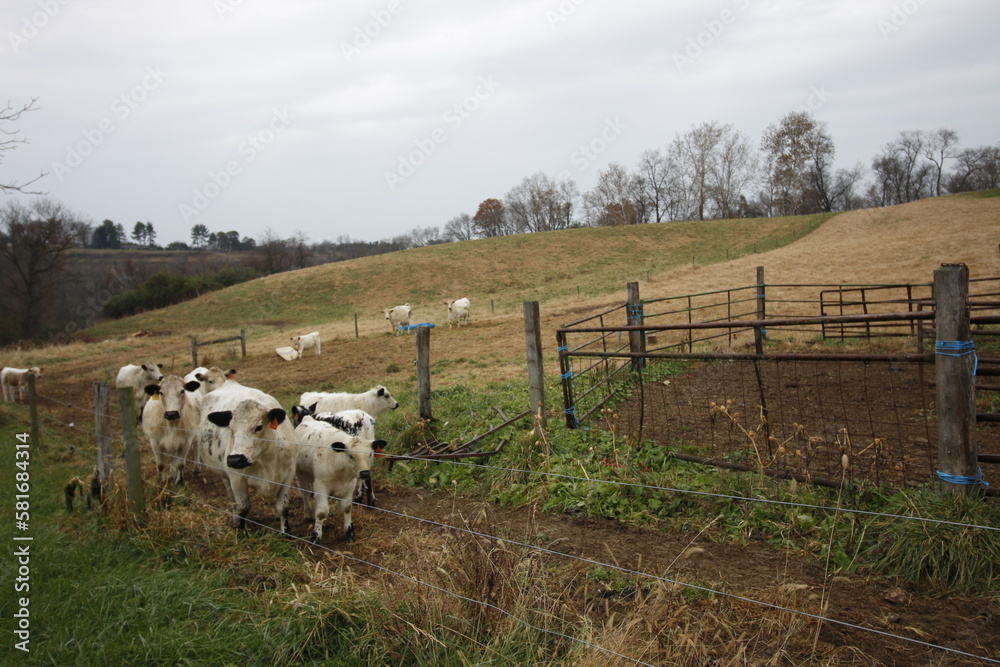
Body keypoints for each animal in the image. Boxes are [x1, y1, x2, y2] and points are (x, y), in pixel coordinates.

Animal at [197, 380, 297, 534]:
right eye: (231, 428)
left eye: (259, 427)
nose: (235, 460)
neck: (267, 461)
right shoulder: (237, 479)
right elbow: (243, 508)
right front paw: (241, 532)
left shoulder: (288, 477)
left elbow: (283, 507)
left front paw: (286, 533)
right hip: (225, 475)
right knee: (233, 500)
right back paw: (235, 520)